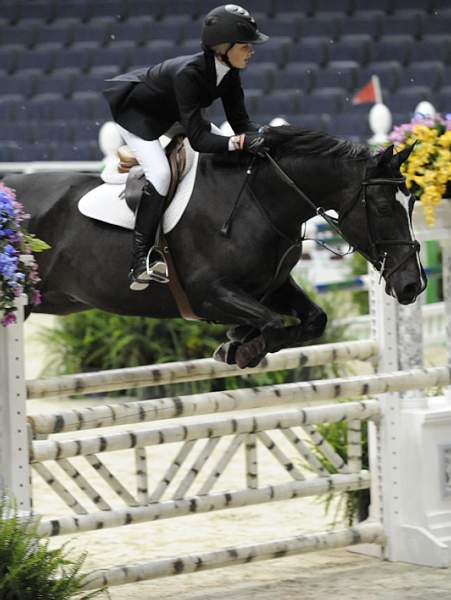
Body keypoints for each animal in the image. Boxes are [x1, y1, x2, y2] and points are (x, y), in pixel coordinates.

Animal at [3, 125, 428, 370]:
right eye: (384, 206)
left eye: (411, 202)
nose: (413, 285)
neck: (259, 199)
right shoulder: (209, 293)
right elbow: (272, 323)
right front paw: (241, 349)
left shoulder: (271, 285)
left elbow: (314, 319)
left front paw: (237, 343)